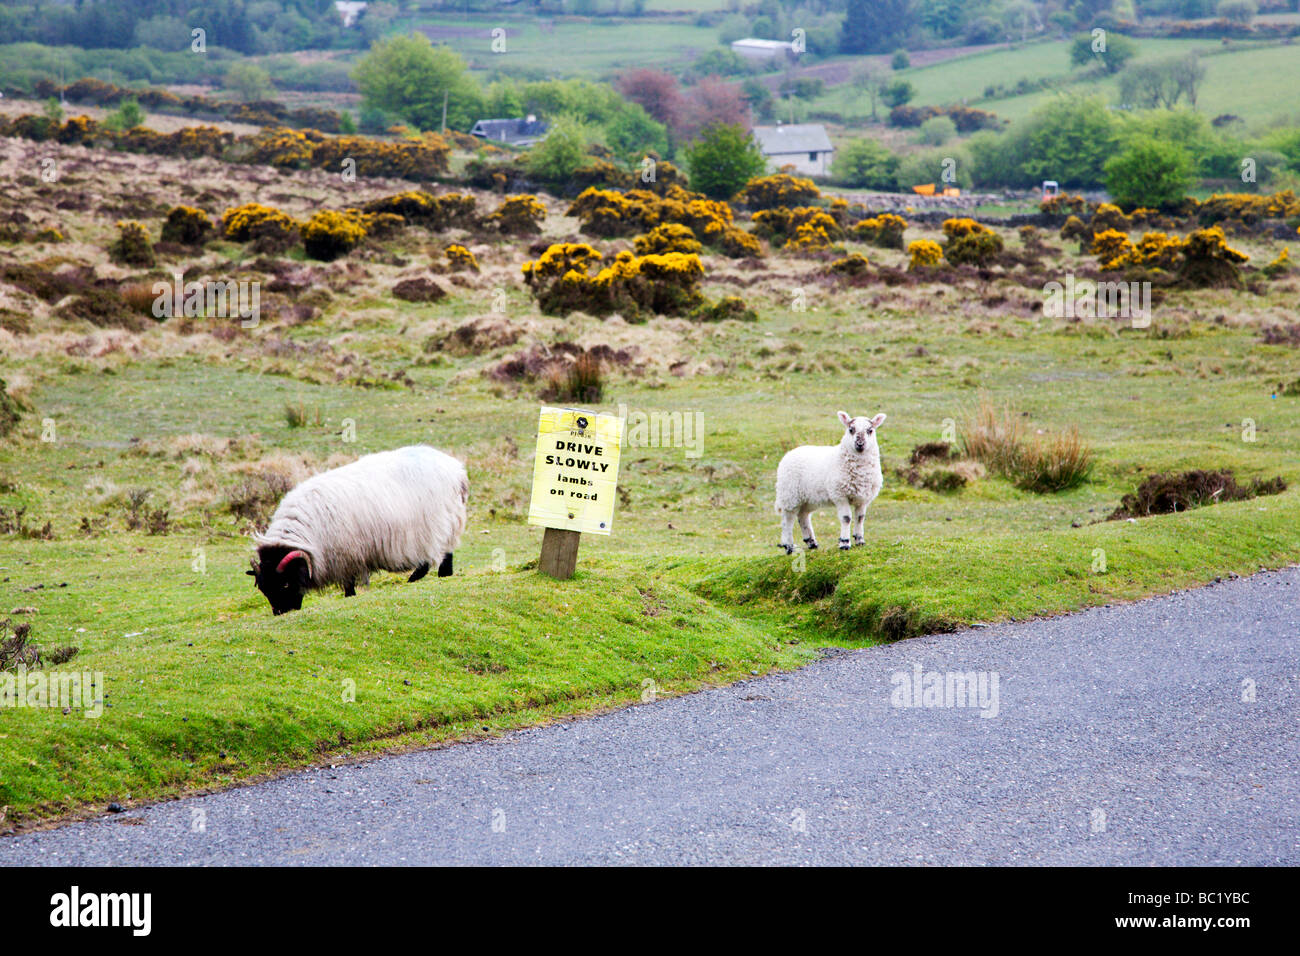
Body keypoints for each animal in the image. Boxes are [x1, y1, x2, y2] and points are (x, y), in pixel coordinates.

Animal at [248, 447, 467, 616]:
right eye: (264, 589)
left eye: (285, 584)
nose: (282, 613)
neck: (308, 534)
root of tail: (457, 471)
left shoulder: (346, 555)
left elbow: (348, 584)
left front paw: (349, 596)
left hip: (436, 526)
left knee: (436, 557)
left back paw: (422, 577)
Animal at [774, 408, 889, 554]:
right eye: (851, 429)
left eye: (870, 430)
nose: (860, 444)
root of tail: (790, 453)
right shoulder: (840, 494)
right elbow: (846, 518)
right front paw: (844, 543)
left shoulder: (863, 497)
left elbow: (860, 518)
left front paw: (860, 541)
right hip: (790, 494)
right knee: (788, 519)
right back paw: (789, 546)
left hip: (809, 498)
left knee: (803, 516)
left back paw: (812, 543)